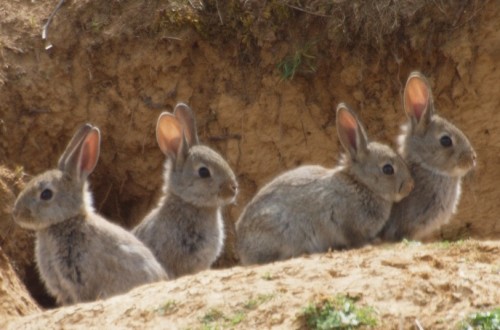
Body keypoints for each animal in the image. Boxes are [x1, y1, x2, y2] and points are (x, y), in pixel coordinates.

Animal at [234, 103, 414, 266]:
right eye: (388, 169)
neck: (362, 184)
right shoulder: (348, 223)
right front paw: (372, 242)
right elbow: (355, 239)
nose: (410, 186)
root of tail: (242, 248)